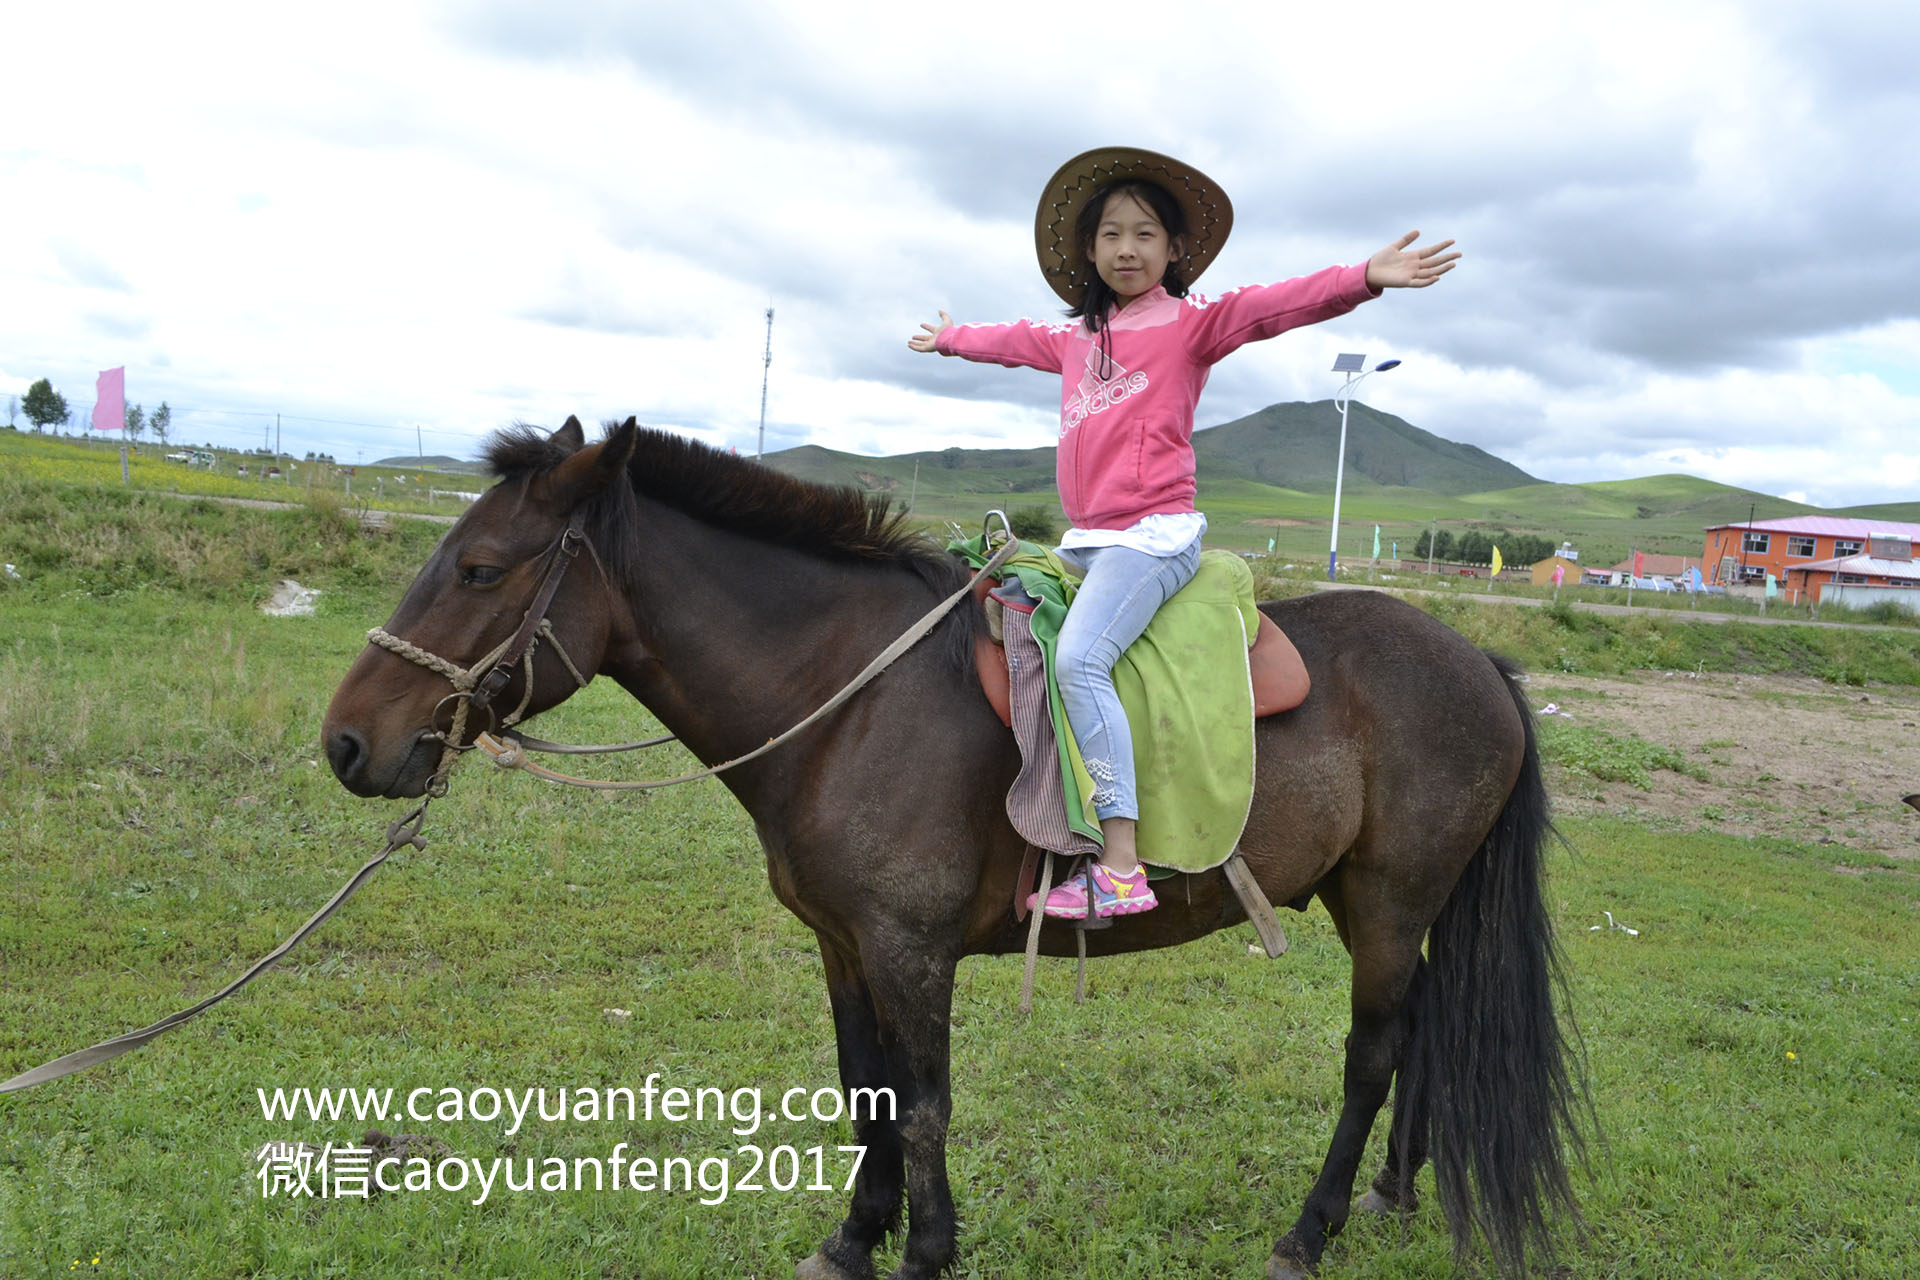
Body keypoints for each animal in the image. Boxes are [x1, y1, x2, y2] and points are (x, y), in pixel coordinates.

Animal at [322, 420, 1582, 1280]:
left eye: (479, 567)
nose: (348, 741)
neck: (849, 698)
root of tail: (1482, 665)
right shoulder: (844, 945)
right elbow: (867, 1093)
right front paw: (854, 1236)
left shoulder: (911, 949)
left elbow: (925, 1104)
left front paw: (926, 1249)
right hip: (1377, 902)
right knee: (1425, 1027)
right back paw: (1392, 1192)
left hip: (1392, 902)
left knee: (1373, 1052)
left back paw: (1307, 1228)